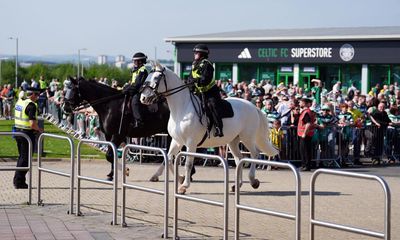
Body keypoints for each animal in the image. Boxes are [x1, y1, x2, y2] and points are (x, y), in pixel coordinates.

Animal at [141, 63, 278, 193]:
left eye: (157, 77)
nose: (143, 98)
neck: (182, 108)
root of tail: (253, 106)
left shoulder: (191, 143)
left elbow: (188, 164)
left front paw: (184, 186)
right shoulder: (177, 141)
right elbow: (168, 159)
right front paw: (178, 178)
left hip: (247, 138)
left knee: (254, 154)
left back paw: (253, 181)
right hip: (233, 141)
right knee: (239, 159)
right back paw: (237, 185)